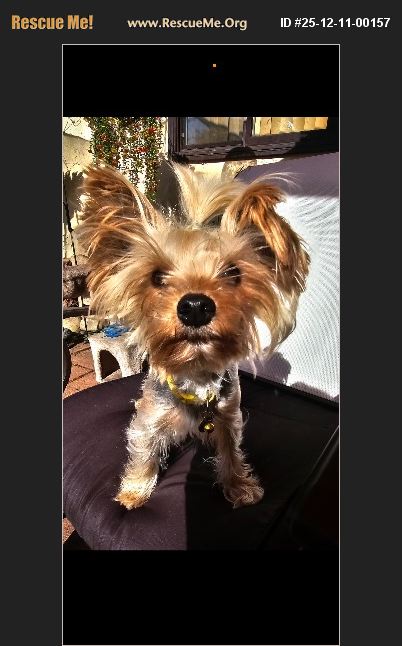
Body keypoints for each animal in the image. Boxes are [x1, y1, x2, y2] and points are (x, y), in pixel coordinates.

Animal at [76, 163, 309, 509]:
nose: (196, 306)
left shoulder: (228, 416)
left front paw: (239, 485)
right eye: (157, 277)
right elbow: (143, 451)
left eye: (233, 273)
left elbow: (231, 450)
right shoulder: (150, 418)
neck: (195, 374)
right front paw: (134, 491)